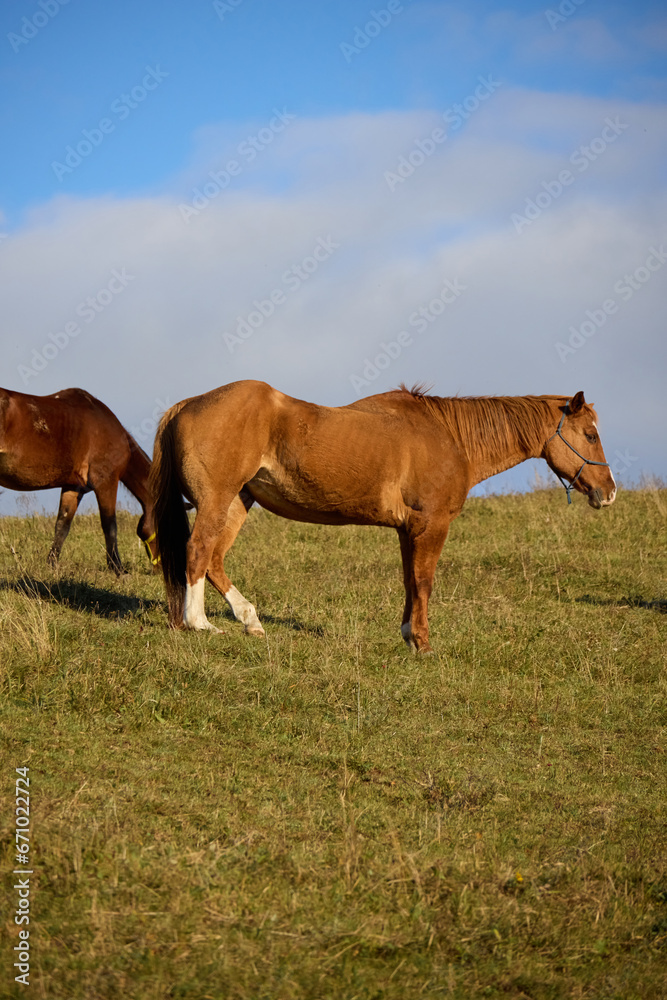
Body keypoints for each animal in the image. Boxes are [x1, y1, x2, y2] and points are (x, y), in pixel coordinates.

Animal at [0, 387, 159, 574]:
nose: (159, 570)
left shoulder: (73, 488)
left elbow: (62, 526)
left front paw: (52, 565)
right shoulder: (106, 482)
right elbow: (110, 525)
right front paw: (118, 568)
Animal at [149, 381, 616, 653]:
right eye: (590, 434)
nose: (608, 492)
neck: (448, 436)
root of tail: (186, 404)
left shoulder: (408, 530)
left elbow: (410, 580)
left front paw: (409, 634)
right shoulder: (431, 524)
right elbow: (424, 582)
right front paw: (423, 643)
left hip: (237, 502)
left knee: (214, 560)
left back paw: (249, 620)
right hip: (218, 499)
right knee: (198, 552)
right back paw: (200, 624)